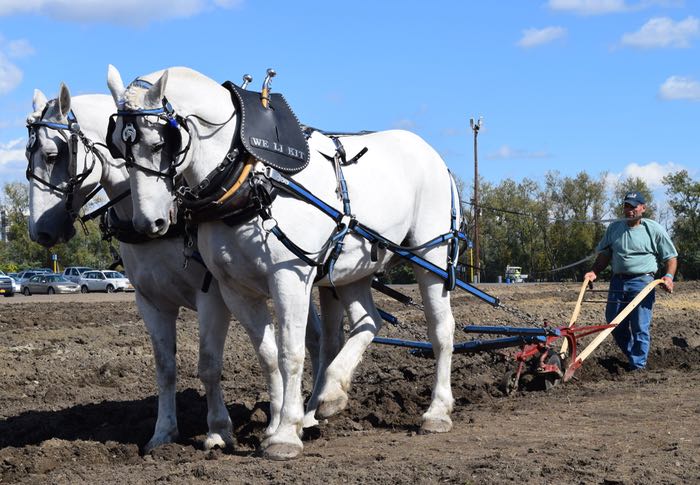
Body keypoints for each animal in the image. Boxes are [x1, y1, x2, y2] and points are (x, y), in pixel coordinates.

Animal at [25, 82, 322, 450]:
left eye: (53, 155)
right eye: (27, 155)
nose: (40, 231)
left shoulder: (212, 296)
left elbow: (209, 364)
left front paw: (218, 430)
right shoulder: (151, 301)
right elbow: (165, 368)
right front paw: (163, 432)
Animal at [106, 66, 460, 460]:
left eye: (158, 144)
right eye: (117, 146)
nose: (148, 223)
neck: (250, 178)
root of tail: (431, 154)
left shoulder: (288, 278)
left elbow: (291, 352)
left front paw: (285, 435)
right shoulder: (234, 290)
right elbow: (268, 356)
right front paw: (279, 423)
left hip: (430, 255)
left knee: (440, 330)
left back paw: (436, 412)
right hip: (352, 271)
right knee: (368, 321)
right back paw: (329, 395)